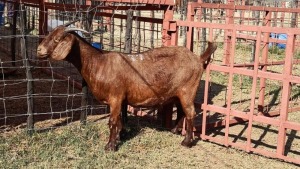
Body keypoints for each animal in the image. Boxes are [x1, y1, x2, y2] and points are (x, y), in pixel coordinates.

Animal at [36, 23, 217, 151]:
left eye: (57, 39)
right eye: (49, 35)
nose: (39, 50)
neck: (99, 63)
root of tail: (198, 59)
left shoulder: (115, 98)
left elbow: (112, 121)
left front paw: (110, 146)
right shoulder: (121, 99)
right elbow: (120, 120)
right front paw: (119, 138)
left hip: (188, 90)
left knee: (190, 113)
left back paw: (186, 142)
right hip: (178, 93)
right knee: (181, 110)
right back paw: (175, 131)